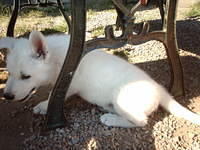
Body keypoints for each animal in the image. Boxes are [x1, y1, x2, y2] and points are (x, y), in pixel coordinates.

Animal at [0, 30, 200, 127]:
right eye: (8, 72)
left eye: (26, 76)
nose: (6, 97)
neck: (56, 60)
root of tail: (159, 89)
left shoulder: (68, 83)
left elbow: (53, 96)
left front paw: (43, 106)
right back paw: (108, 109)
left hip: (122, 98)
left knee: (141, 121)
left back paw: (110, 119)